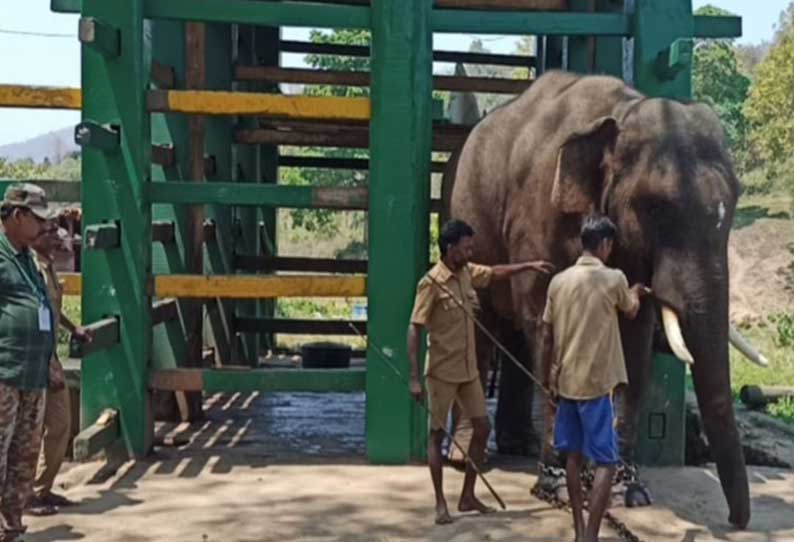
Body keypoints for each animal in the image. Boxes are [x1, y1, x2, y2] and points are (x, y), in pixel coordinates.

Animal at [446, 71, 748, 532]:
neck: (621, 112)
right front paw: (555, 485)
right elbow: (544, 323)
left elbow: (633, 342)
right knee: (481, 322)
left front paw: (628, 492)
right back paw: (466, 460)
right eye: (656, 208)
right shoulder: (538, 215)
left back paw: (519, 445)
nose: (736, 521)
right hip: (468, 213)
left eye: (734, 203)